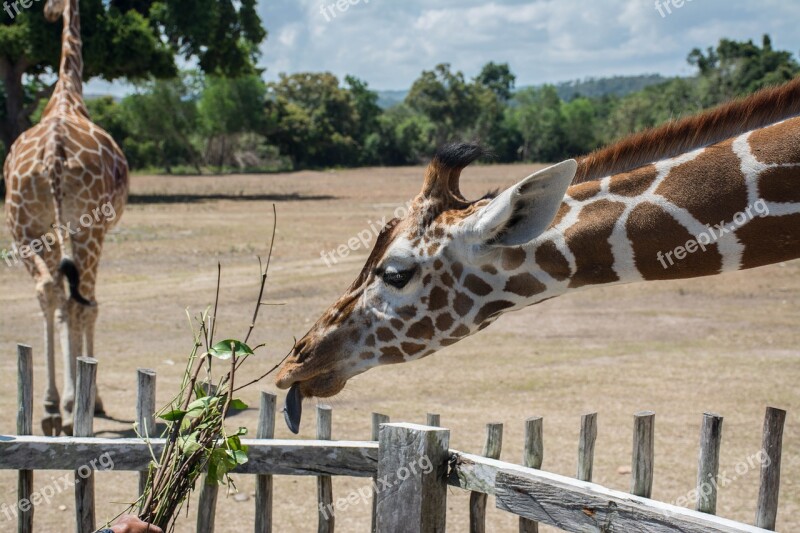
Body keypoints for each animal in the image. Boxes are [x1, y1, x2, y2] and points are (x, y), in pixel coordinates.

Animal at [3, 0, 127, 432]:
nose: (47, 11)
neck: (67, 94)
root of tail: (54, 154)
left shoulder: (50, 232)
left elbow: (60, 301)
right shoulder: (93, 228)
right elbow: (88, 306)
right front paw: (93, 400)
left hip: (22, 225)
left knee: (48, 290)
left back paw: (50, 408)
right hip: (86, 228)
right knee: (80, 302)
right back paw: (71, 409)